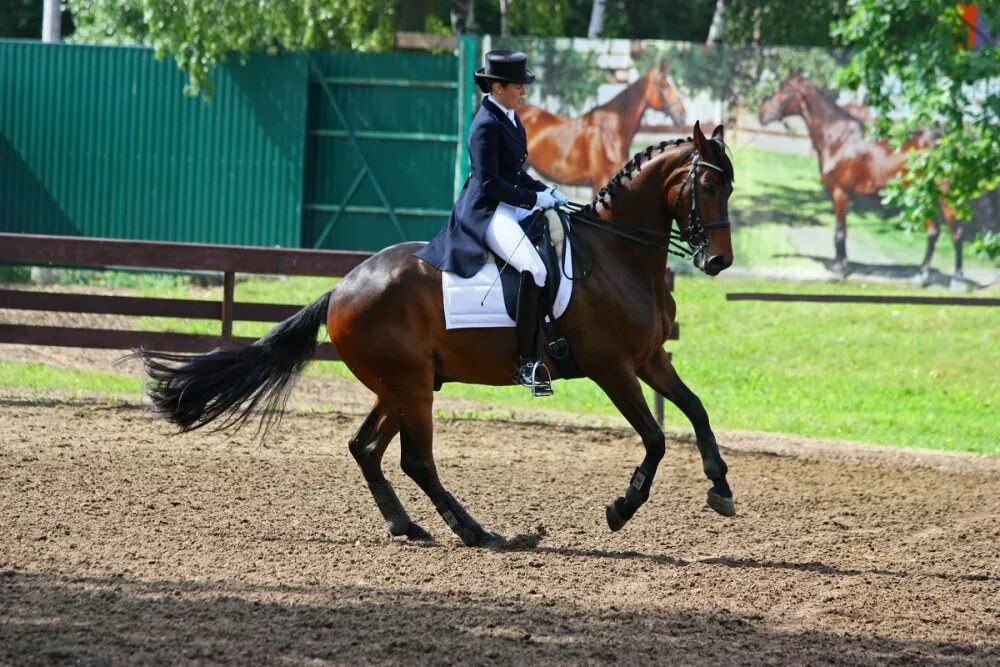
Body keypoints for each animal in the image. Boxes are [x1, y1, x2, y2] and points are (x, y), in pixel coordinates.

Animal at [135, 122, 736, 552]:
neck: (616, 253)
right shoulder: (611, 366)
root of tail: (342, 287)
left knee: (365, 448)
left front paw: (721, 489)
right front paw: (621, 508)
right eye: (707, 185)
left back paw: (408, 527)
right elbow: (655, 438)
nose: (719, 262)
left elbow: (697, 410)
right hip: (411, 385)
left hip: (402, 385)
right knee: (415, 461)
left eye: (729, 187)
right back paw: (479, 533)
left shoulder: (650, 358)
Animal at [760, 73, 964, 288]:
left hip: (944, 196)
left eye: (784, 90)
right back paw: (922, 277)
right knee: (934, 232)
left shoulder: (840, 193)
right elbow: (842, 231)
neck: (839, 138)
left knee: (955, 232)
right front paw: (841, 264)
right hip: (924, 199)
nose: (762, 113)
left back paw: (956, 281)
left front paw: (840, 270)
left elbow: (839, 232)